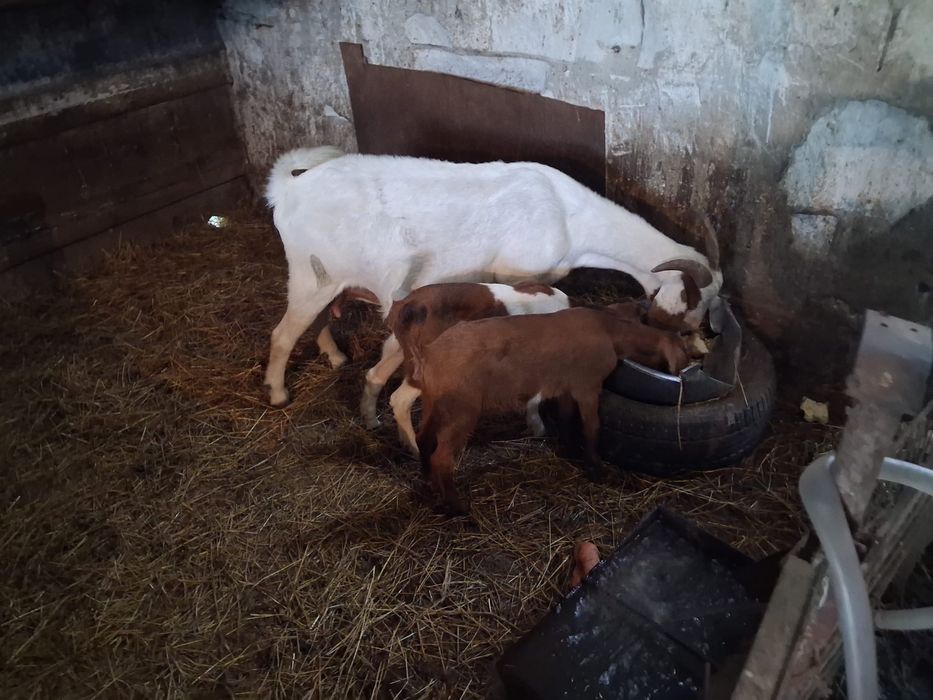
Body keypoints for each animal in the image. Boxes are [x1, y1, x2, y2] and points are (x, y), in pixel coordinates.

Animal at [263, 146, 719, 408]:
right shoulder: (516, 275)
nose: (701, 345)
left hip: (327, 278)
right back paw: (279, 393)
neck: (569, 217)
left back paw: (336, 356)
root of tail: (289, 189)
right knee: (283, 334)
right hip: (311, 272)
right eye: (700, 304)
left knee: (317, 320)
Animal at [412, 306, 689, 515]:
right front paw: (597, 470)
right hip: (462, 409)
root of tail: (428, 354)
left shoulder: (564, 386)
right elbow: (592, 426)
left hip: (433, 402)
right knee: (442, 458)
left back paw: (428, 481)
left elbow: (566, 418)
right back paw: (458, 507)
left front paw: (568, 450)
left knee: (423, 438)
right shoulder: (587, 385)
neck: (610, 333)